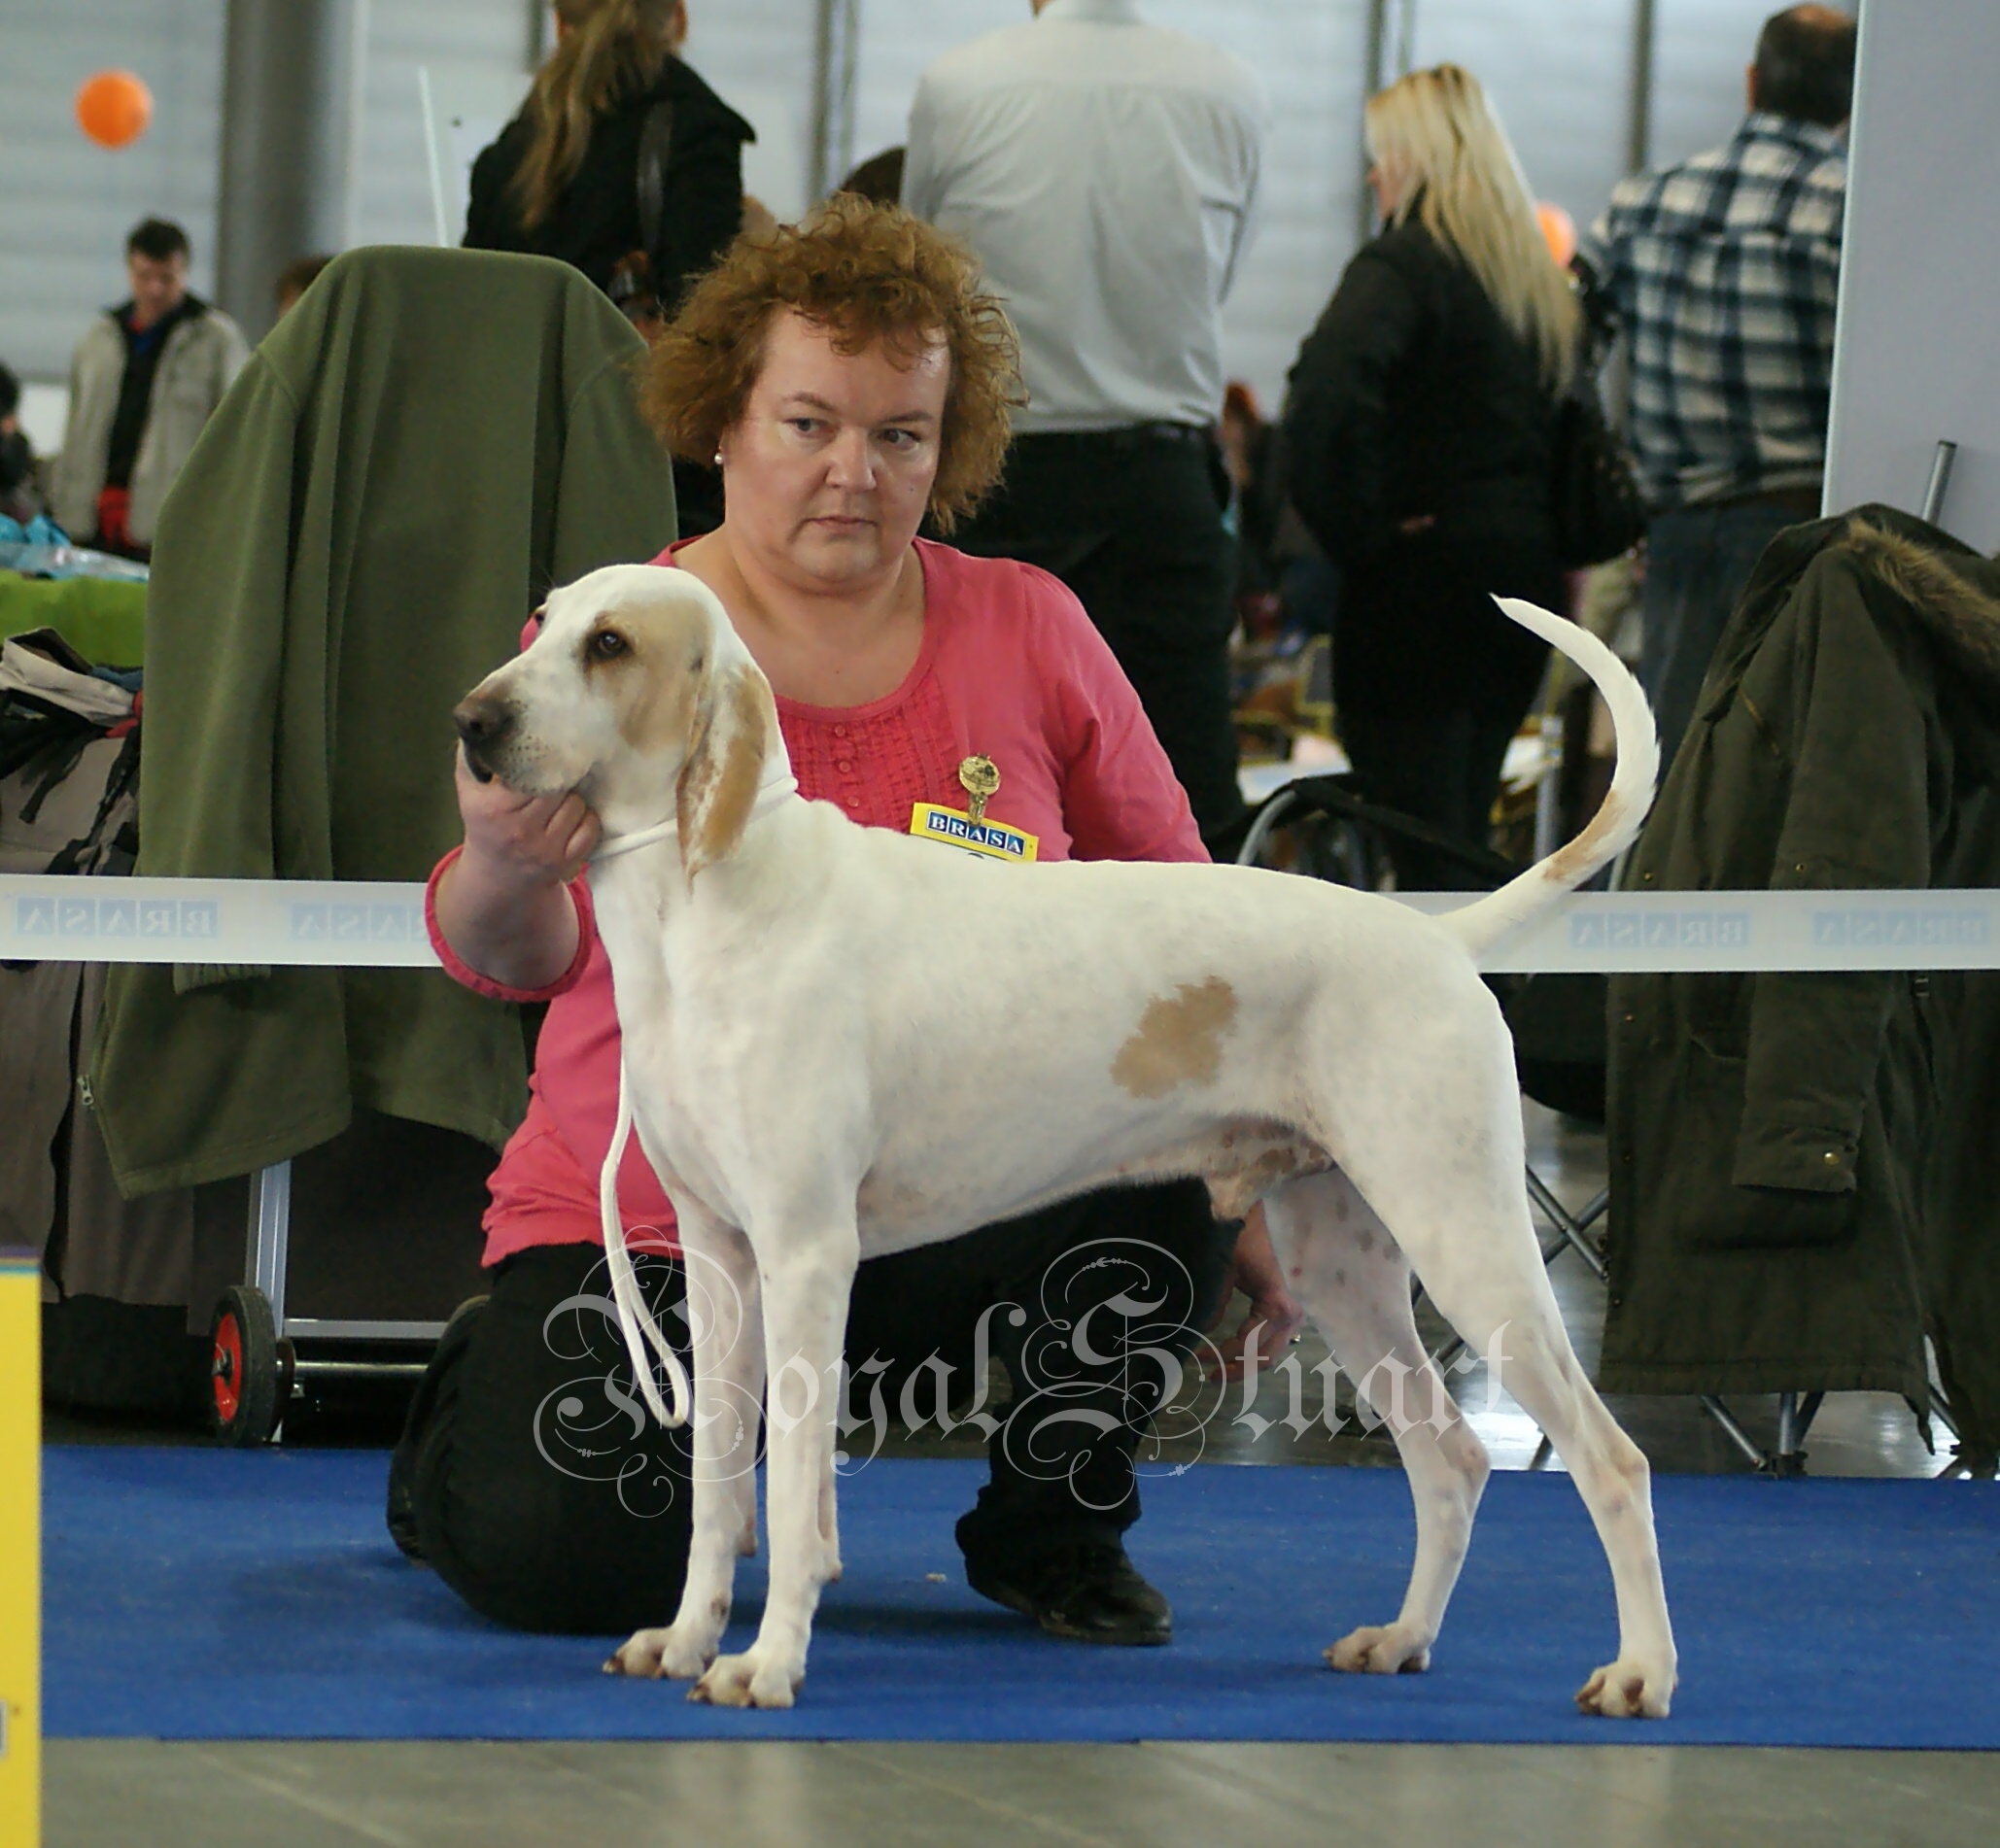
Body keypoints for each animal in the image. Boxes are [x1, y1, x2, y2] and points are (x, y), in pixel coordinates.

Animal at [450, 567, 1672, 1720]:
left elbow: (793, 1488)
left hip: (1468, 1236)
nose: (472, 721)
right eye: (544, 621)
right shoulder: (717, 1257)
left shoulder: (804, 1254)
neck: (712, 903)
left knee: (1613, 1460)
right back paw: (1402, 1640)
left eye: (610, 645)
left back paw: (1639, 1674)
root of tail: (1436, 934)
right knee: (1450, 1456)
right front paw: (687, 1641)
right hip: (1347, 1263)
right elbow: (717, 1488)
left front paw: (769, 1663)